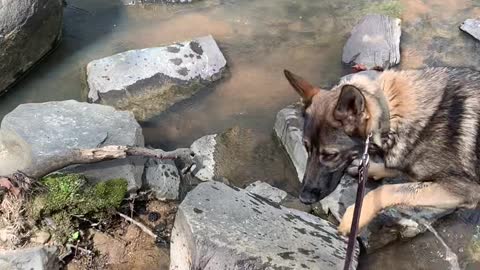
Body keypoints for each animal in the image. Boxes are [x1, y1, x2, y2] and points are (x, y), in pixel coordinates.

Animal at [284, 68, 480, 236]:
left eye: (330, 155)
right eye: (307, 148)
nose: (304, 198)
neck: (392, 115)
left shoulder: (464, 190)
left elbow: (387, 190)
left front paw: (354, 216)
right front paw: (369, 169)